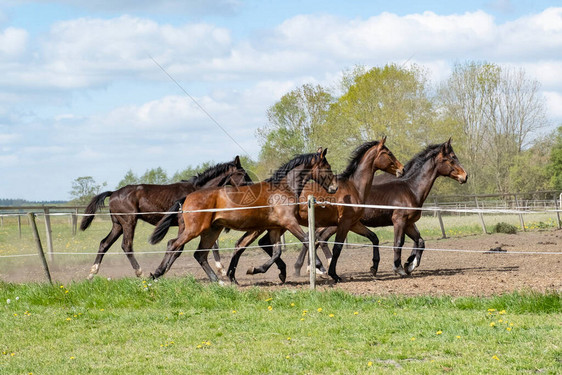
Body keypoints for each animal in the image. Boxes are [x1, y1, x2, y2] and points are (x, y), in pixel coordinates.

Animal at [78, 155, 249, 280]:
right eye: (242, 174)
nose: (251, 185)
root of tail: (113, 193)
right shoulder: (184, 224)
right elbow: (178, 247)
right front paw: (160, 272)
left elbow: (210, 244)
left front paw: (221, 270)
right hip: (129, 222)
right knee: (126, 246)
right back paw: (140, 272)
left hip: (117, 225)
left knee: (104, 244)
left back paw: (92, 273)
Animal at [147, 148, 336, 282]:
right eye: (327, 167)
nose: (334, 188)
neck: (283, 189)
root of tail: (187, 197)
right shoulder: (289, 223)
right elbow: (307, 240)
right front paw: (320, 267)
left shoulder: (275, 228)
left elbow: (277, 252)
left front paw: (259, 270)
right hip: (194, 229)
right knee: (174, 245)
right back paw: (157, 273)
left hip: (211, 231)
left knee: (199, 254)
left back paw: (219, 281)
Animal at [228, 140, 402, 284]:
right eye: (389, 153)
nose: (401, 169)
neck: (354, 187)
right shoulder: (344, 224)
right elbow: (336, 248)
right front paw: (333, 274)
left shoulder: (353, 224)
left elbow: (374, 237)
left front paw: (374, 267)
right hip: (270, 225)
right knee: (248, 244)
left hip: (277, 226)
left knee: (257, 244)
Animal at [300, 140, 466, 278]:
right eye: (451, 159)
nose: (465, 176)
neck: (411, 189)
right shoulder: (399, 221)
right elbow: (398, 243)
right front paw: (399, 268)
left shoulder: (409, 223)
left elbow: (420, 241)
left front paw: (409, 265)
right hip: (334, 225)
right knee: (317, 238)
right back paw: (317, 269)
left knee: (315, 239)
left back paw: (314, 269)